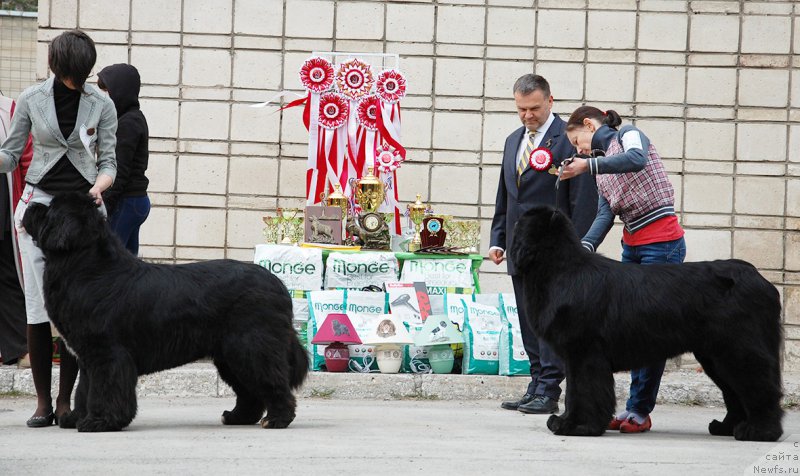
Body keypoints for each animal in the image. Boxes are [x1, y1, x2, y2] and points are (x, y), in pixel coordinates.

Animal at [21, 192, 310, 432]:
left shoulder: (108, 354)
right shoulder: (88, 356)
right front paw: (76, 417)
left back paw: (277, 419)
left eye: (50, 208)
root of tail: (279, 285)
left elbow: (105, 388)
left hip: (251, 347)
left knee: (273, 382)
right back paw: (238, 417)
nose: (30, 205)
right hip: (230, 355)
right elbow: (84, 389)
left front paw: (100, 422)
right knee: (249, 390)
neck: (88, 268)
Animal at [512, 206, 780, 440]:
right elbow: (577, 392)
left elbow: (581, 392)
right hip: (715, 357)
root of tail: (759, 279)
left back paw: (760, 431)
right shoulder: (578, 356)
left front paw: (575, 425)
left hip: (738, 350)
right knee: (735, 392)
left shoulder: (584, 354)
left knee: (759, 386)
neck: (560, 269)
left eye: (519, 223)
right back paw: (727, 427)